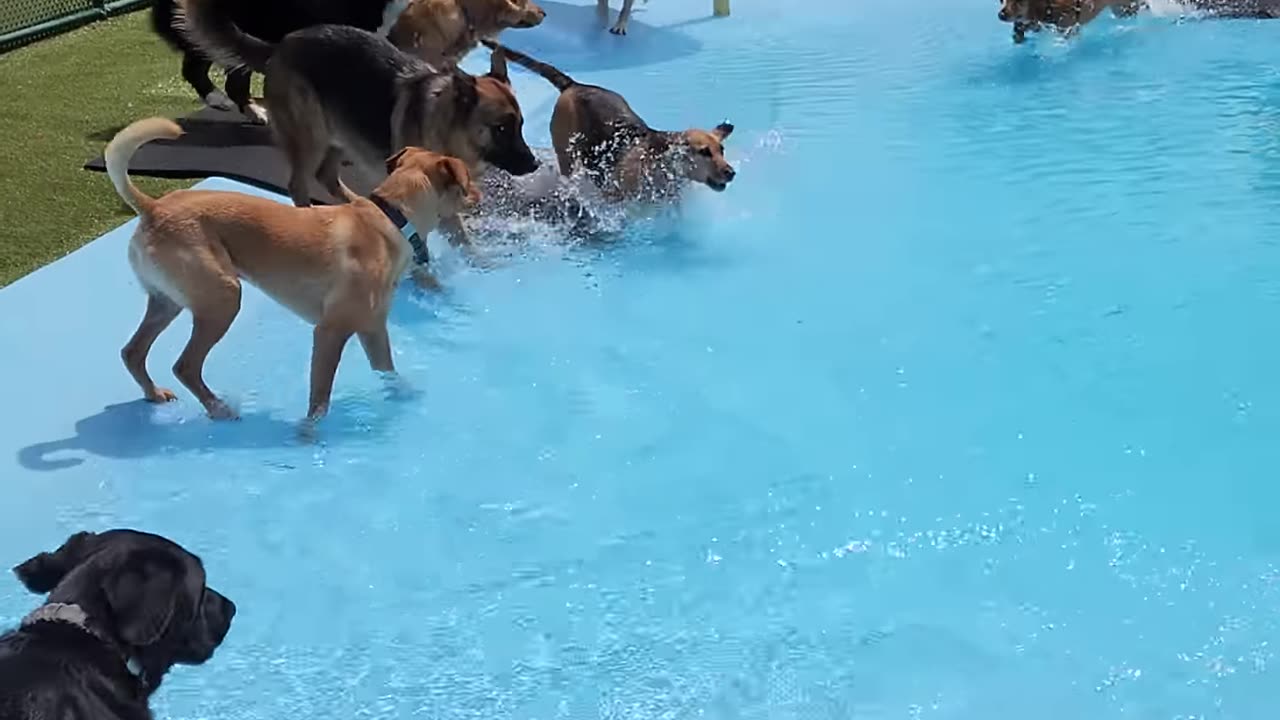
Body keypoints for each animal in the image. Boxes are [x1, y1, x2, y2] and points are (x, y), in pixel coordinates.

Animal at [106, 115, 481, 422]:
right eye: (466, 182)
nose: (479, 192)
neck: (390, 216)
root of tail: (152, 207)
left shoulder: (373, 328)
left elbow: (388, 371)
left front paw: (403, 395)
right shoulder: (330, 332)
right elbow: (320, 398)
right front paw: (307, 436)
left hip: (167, 301)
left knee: (132, 352)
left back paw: (154, 394)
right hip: (223, 298)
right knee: (185, 366)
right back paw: (220, 409)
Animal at [483, 40, 737, 202]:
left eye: (722, 150)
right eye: (704, 152)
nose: (731, 173)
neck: (659, 165)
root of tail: (573, 85)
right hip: (566, 154)